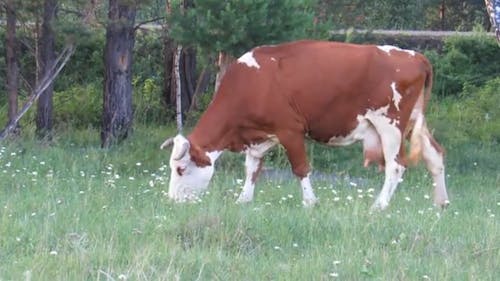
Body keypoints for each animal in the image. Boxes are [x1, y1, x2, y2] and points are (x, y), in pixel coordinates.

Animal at [162, 40, 452, 210]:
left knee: (396, 166)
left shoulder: (290, 130)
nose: (172, 201)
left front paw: (310, 202)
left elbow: (300, 168)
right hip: (414, 122)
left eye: (180, 168)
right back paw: (441, 203)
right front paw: (243, 199)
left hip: (391, 125)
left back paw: (378, 206)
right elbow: (252, 168)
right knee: (435, 156)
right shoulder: (259, 136)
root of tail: (414, 56)